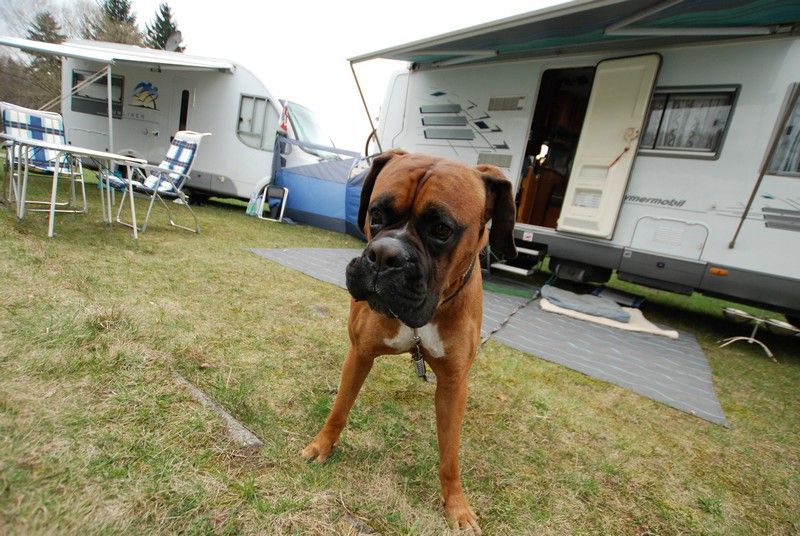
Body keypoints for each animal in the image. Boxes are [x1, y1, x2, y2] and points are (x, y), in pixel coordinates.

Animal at [302, 150, 520, 532]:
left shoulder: (453, 383)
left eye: (442, 230)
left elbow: (450, 454)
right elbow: (339, 409)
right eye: (376, 214)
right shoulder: (359, 354)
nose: (384, 255)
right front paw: (321, 446)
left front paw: (456, 506)